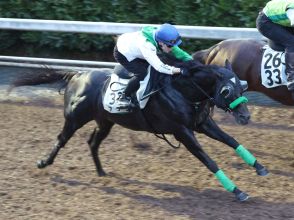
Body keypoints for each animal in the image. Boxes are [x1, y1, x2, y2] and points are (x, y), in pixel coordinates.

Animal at [9, 58, 268, 201]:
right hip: (74, 119)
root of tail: (77, 74)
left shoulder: (202, 124)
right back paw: (44, 162)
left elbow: (232, 141)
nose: (245, 116)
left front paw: (260, 167)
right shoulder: (182, 131)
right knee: (61, 139)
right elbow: (209, 160)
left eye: (242, 86)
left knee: (93, 142)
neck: (183, 91)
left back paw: (101, 172)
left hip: (106, 121)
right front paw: (237, 190)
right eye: (226, 90)